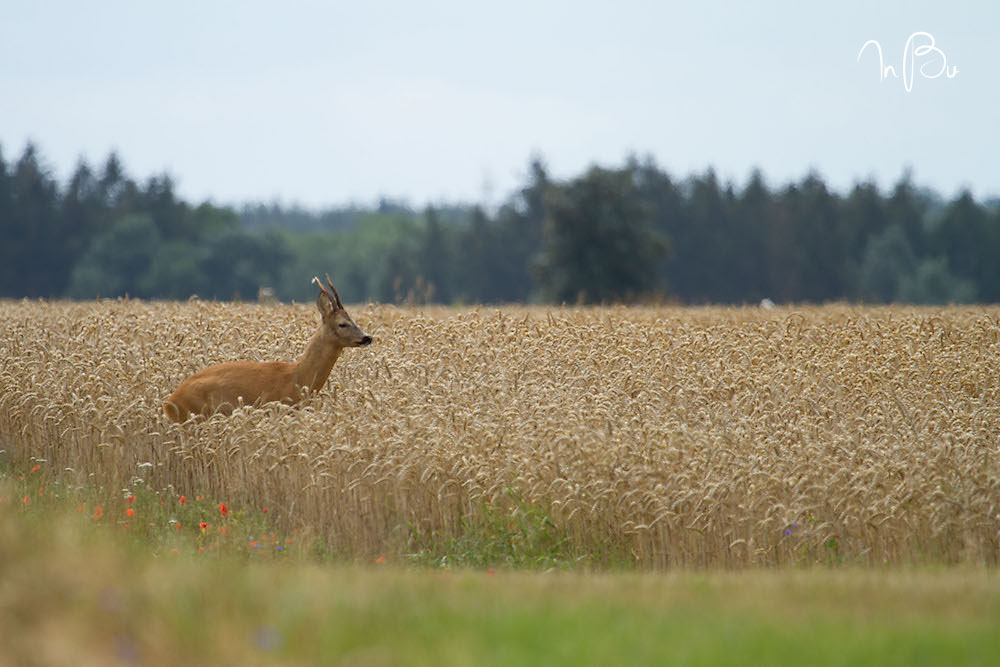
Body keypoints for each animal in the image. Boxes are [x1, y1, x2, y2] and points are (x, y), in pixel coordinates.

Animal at [162, 276, 374, 422]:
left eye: (353, 320)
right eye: (342, 324)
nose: (367, 337)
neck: (297, 377)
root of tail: (168, 404)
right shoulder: (275, 408)